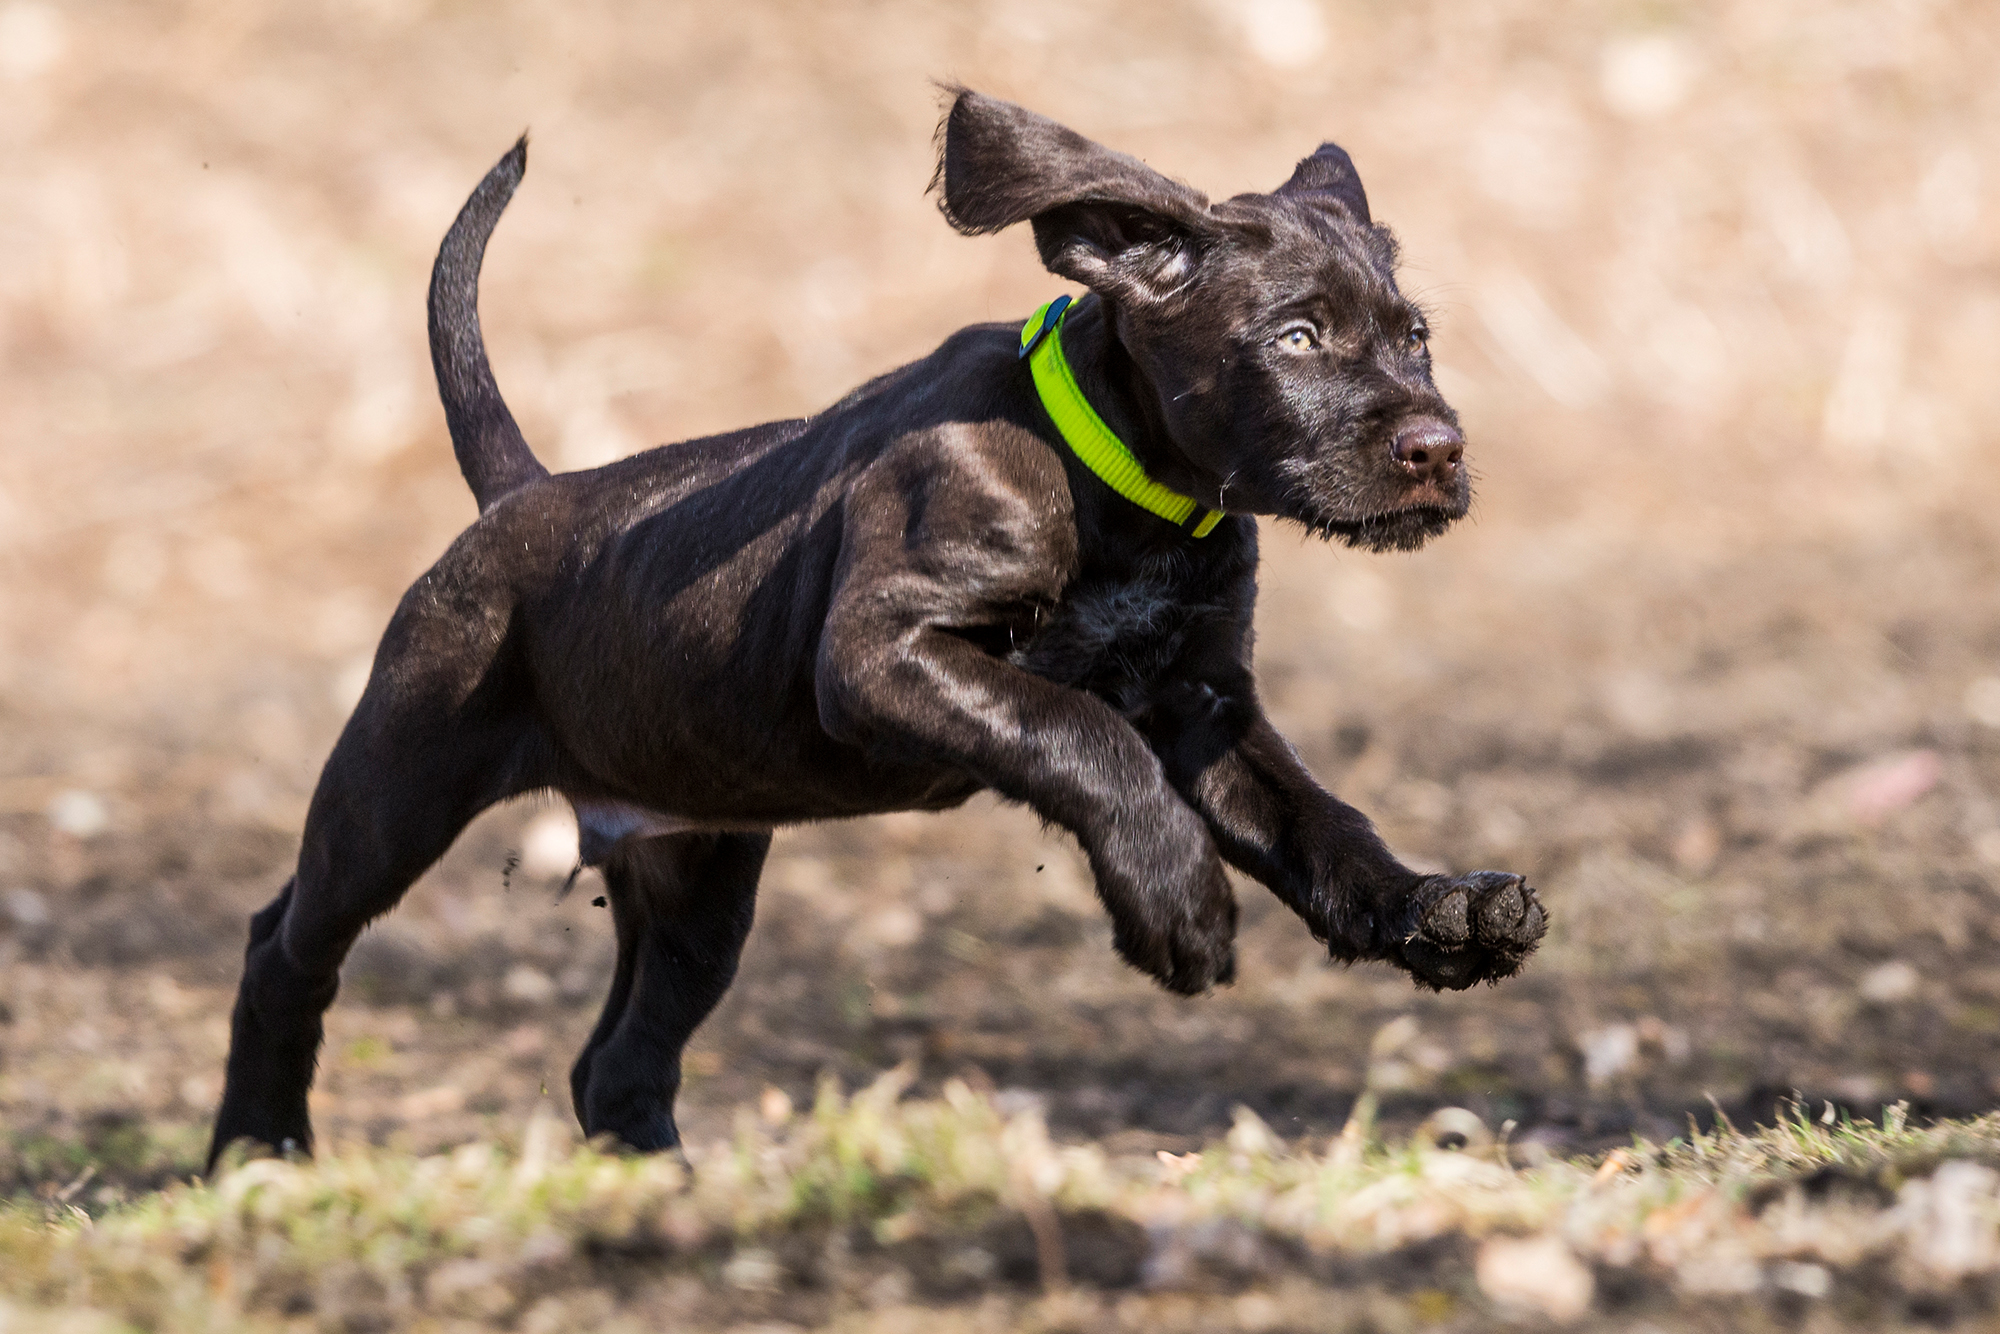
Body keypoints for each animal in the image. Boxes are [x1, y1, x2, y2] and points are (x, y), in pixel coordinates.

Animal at [207, 88, 1544, 1168]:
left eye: (1414, 335)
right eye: (1296, 336)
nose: (1437, 449)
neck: (1123, 485)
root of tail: (520, 496)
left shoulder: (1204, 703)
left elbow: (1317, 820)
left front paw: (1428, 910)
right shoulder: (882, 656)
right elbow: (1079, 732)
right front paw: (1179, 907)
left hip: (694, 876)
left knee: (618, 1062)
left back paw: (674, 1195)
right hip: (395, 786)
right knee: (286, 948)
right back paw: (257, 1147)